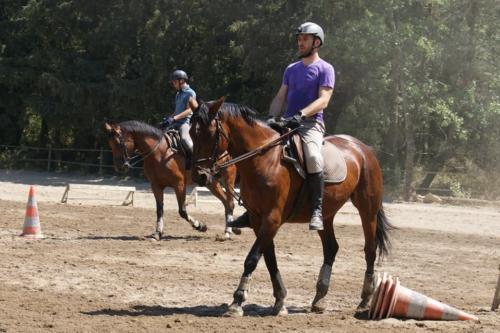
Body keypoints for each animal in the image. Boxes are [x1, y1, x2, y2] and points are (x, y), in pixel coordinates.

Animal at [104, 120, 240, 240]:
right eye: (110, 144)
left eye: (119, 143)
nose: (119, 167)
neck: (160, 153)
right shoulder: (156, 185)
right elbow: (159, 210)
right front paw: (157, 233)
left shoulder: (179, 185)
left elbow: (182, 211)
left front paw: (200, 226)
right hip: (211, 182)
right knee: (226, 202)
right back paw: (230, 229)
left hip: (228, 179)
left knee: (230, 202)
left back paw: (228, 232)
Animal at [189, 97, 392, 316]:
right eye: (191, 133)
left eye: (209, 134)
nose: (199, 176)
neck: (264, 160)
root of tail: (363, 148)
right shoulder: (258, 219)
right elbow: (269, 259)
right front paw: (280, 301)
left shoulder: (272, 218)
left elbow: (252, 258)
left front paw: (237, 301)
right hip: (326, 214)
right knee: (331, 248)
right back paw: (319, 298)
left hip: (367, 209)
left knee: (370, 249)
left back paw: (365, 300)